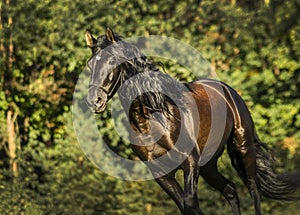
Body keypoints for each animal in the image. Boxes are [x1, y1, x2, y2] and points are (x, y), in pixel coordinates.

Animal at [84, 27, 300, 214]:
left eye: (112, 60)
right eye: (90, 65)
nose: (95, 100)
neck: (154, 119)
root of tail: (228, 91)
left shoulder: (190, 162)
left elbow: (190, 203)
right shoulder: (161, 173)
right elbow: (186, 206)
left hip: (242, 145)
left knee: (253, 187)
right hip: (208, 164)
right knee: (230, 189)